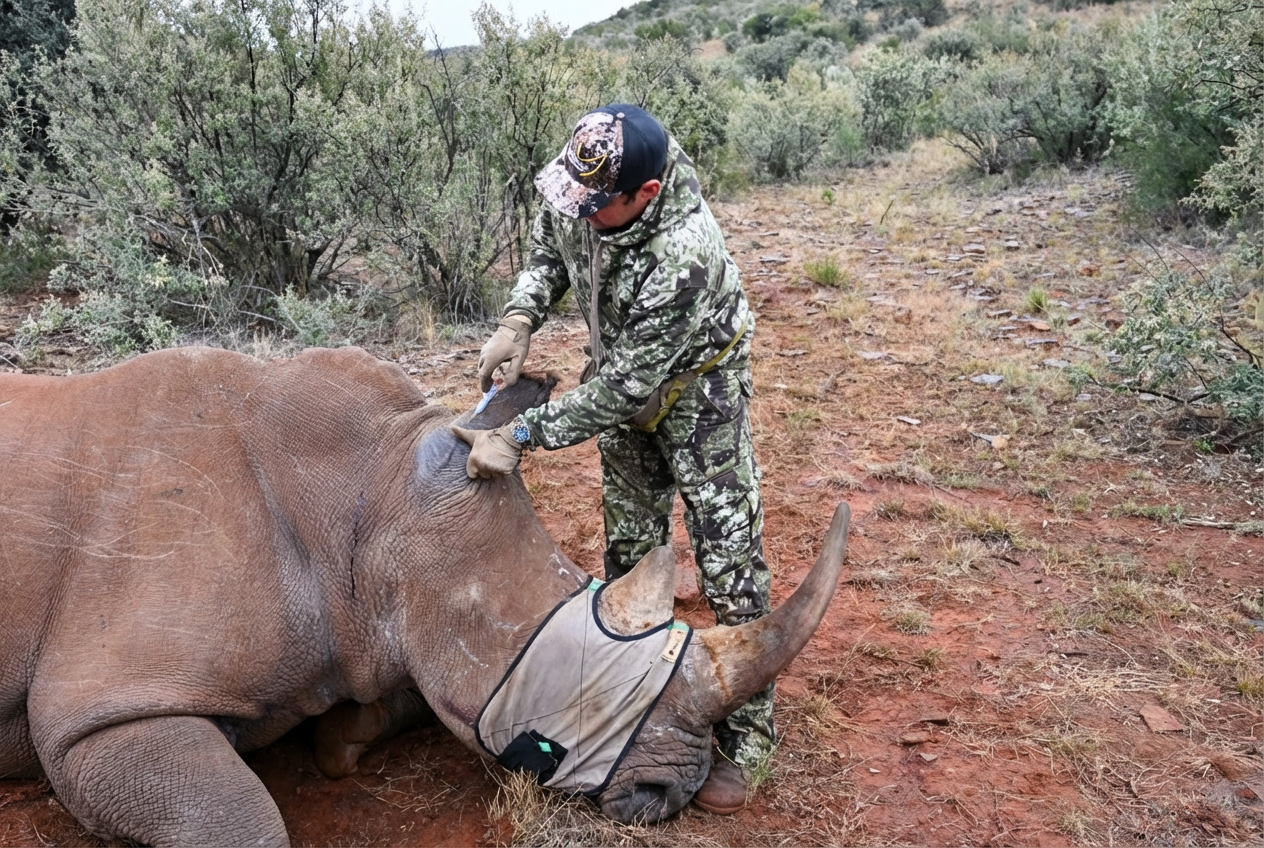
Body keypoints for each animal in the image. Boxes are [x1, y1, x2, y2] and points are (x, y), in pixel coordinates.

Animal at [0, 345, 849, 846]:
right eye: (580, 691)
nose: (674, 792)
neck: (373, 490)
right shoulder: (101, 713)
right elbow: (237, 821)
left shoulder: (392, 618)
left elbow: (410, 688)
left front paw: (338, 739)